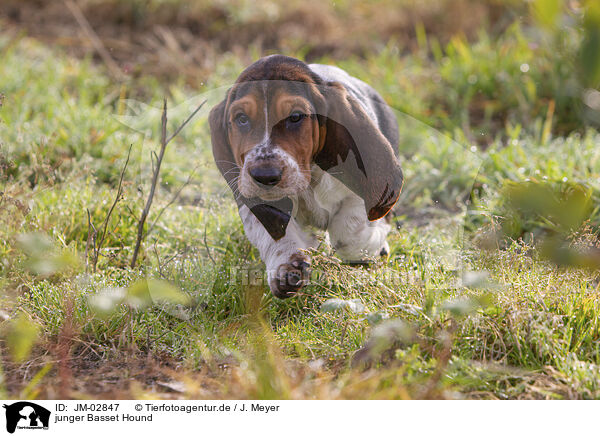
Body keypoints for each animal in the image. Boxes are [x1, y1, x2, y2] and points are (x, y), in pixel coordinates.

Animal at [211, 54, 404, 298]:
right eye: (242, 119)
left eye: (295, 117)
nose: (264, 176)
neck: (308, 181)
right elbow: (273, 232)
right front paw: (288, 265)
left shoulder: (359, 199)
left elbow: (348, 234)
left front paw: (374, 249)